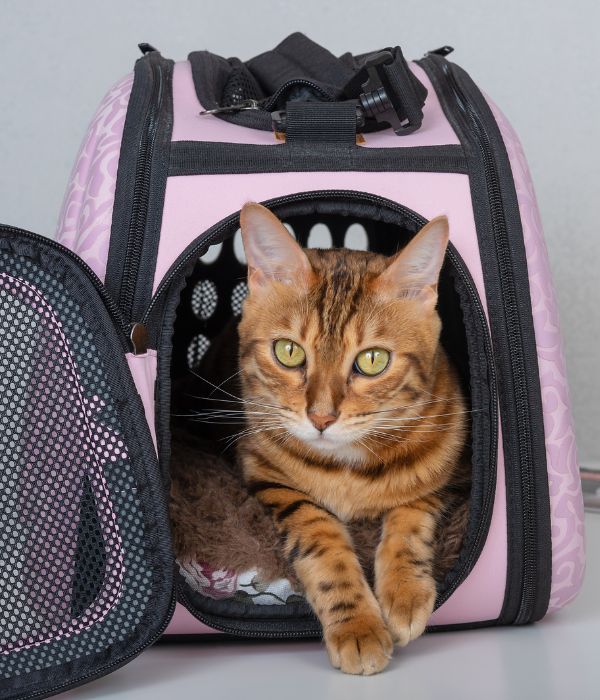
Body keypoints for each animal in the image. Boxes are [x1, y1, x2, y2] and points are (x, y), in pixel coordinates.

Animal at [236, 202, 468, 672]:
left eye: (373, 360)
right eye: (289, 351)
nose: (321, 417)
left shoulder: (451, 470)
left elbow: (411, 512)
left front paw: (405, 592)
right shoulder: (265, 473)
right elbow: (320, 535)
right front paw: (357, 625)